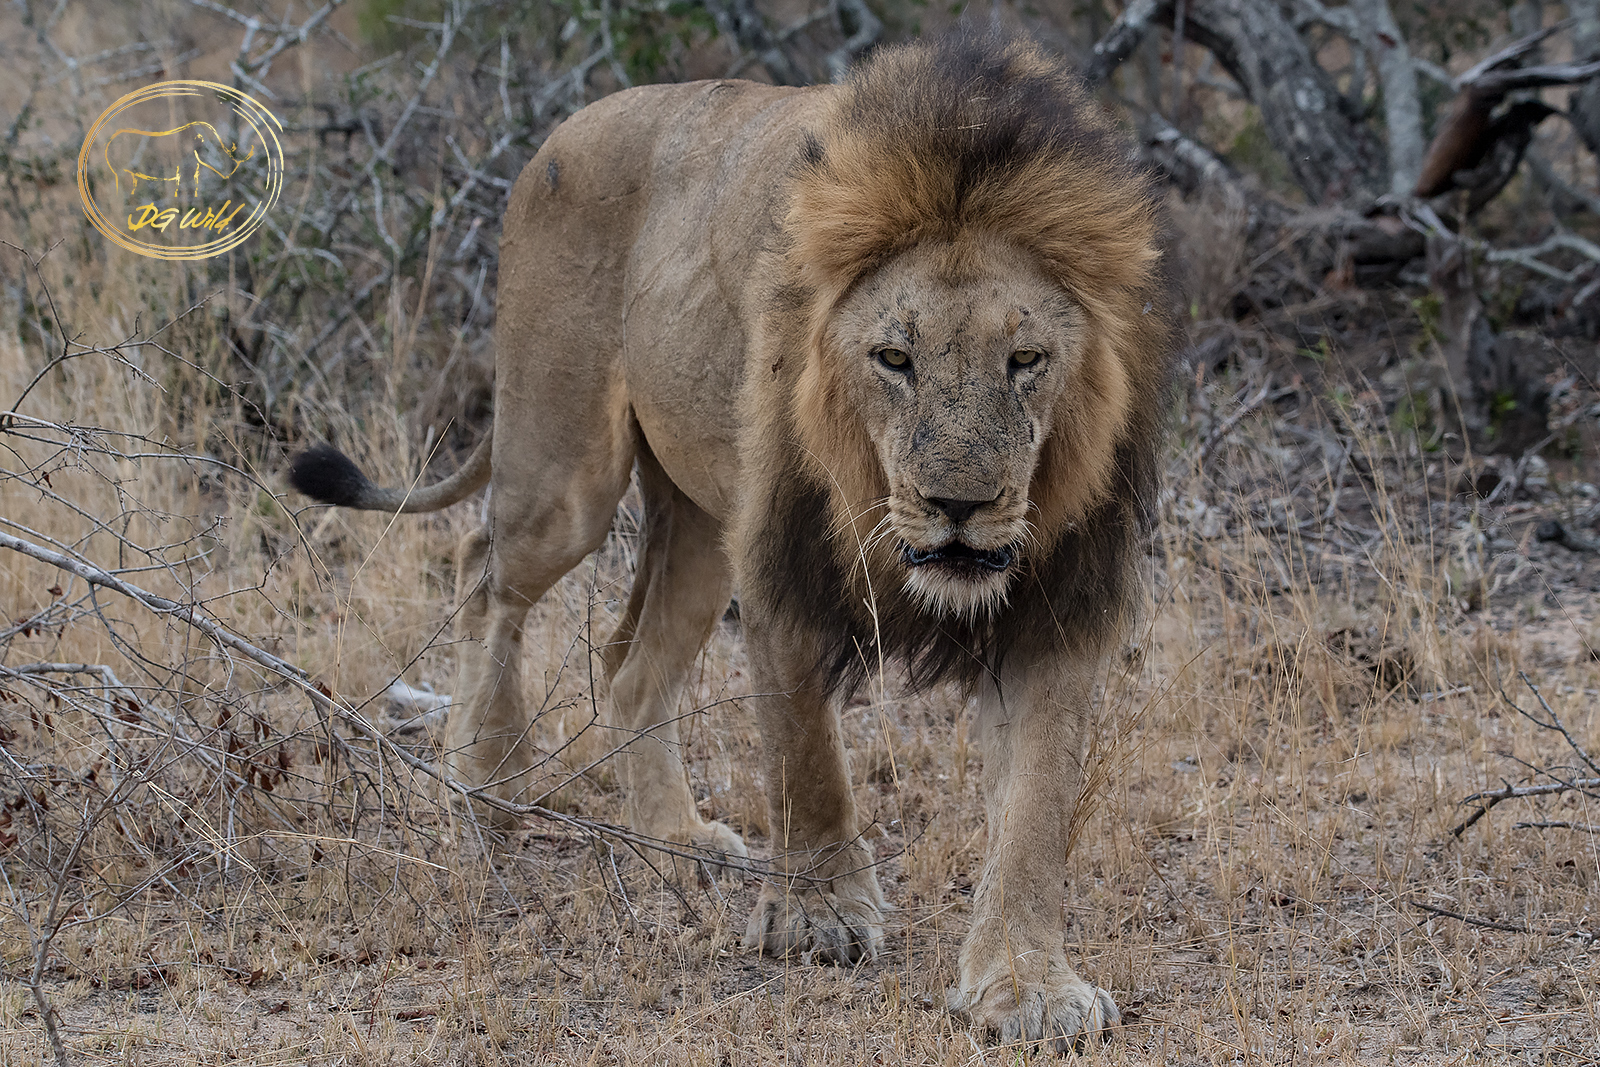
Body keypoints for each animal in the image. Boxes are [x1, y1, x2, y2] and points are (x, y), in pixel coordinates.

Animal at [291, 35, 1177, 1049]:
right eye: (895, 359)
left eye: (1026, 360)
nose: (959, 503)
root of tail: (562, 130)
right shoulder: (785, 562)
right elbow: (806, 756)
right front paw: (819, 916)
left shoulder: (1058, 606)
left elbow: (1035, 810)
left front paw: (1027, 984)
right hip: (566, 469)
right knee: (487, 575)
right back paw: (481, 787)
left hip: (699, 523)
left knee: (630, 664)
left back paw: (676, 834)